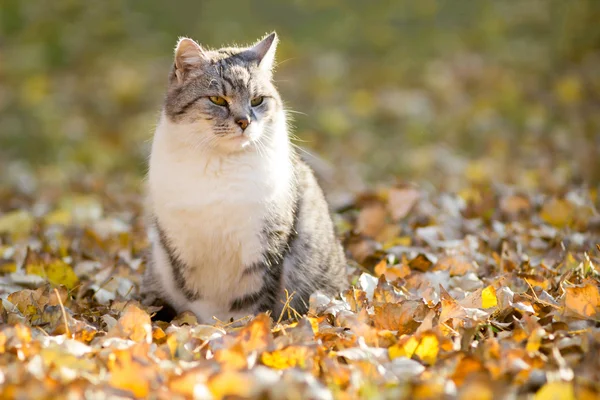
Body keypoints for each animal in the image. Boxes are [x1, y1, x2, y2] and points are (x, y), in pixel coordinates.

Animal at [142, 32, 346, 324]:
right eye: (217, 100)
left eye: (257, 100)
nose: (244, 122)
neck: (221, 165)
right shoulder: (183, 248)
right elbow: (198, 300)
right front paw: (206, 328)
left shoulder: (264, 245)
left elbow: (252, 301)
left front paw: (242, 329)